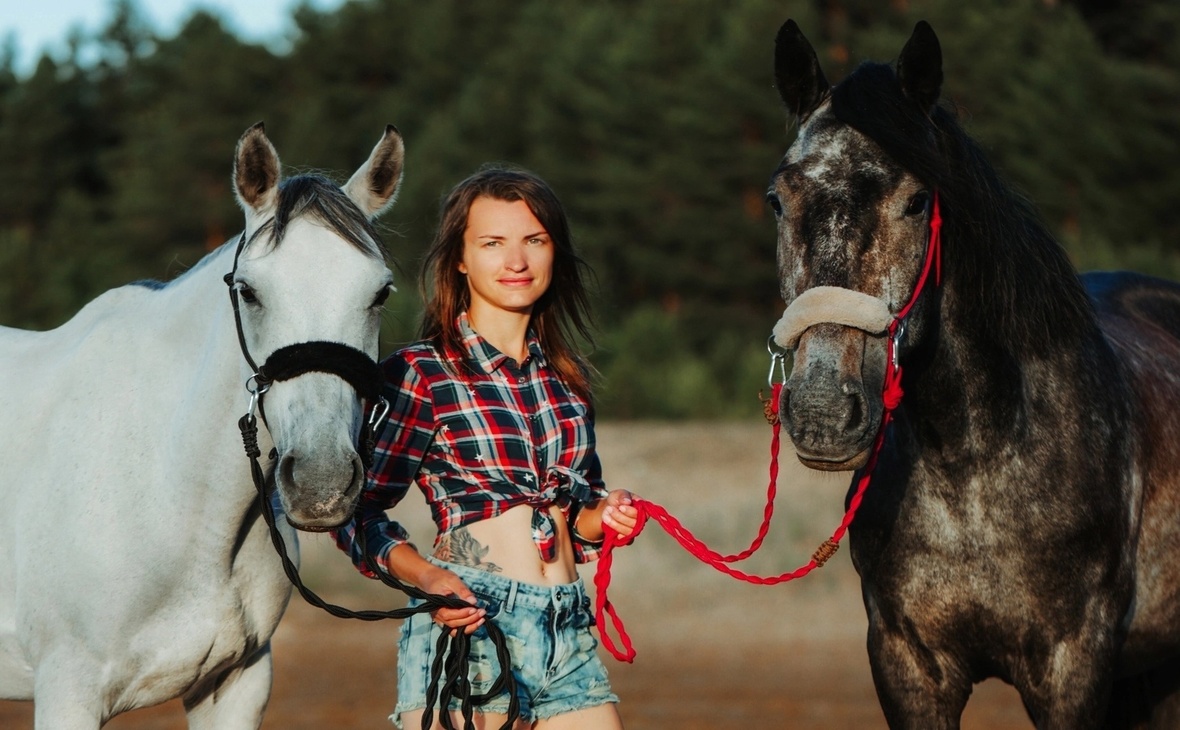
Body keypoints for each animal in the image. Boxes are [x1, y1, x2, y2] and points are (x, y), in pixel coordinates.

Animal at [769, 18, 1180, 730]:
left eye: (915, 202)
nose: (822, 411)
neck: (973, 467)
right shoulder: (908, 666)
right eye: (777, 200)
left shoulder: (1072, 670)